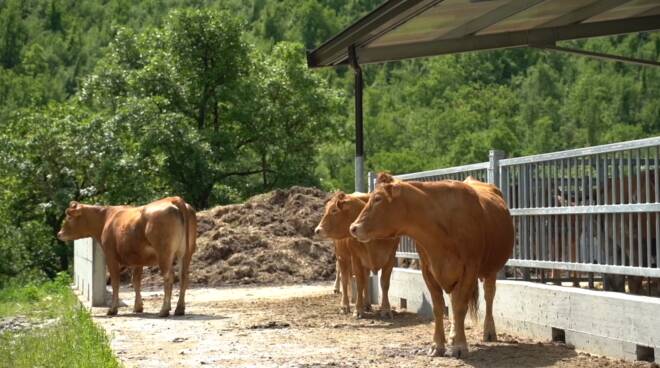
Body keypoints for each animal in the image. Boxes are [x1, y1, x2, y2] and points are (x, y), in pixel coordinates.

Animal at [58, 196, 197, 316]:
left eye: (68, 217)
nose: (59, 233)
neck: (106, 218)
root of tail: (173, 199)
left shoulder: (111, 256)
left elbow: (115, 282)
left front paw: (113, 309)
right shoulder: (138, 259)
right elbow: (136, 281)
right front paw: (138, 307)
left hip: (164, 253)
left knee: (169, 276)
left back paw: (164, 310)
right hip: (187, 253)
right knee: (184, 276)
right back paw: (179, 309)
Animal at [350, 174, 516, 358]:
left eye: (378, 198)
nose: (353, 228)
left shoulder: (470, 269)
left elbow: (460, 307)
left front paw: (460, 346)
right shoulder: (427, 271)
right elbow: (439, 308)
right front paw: (438, 344)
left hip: (491, 270)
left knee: (488, 296)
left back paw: (488, 331)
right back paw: (453, 335)